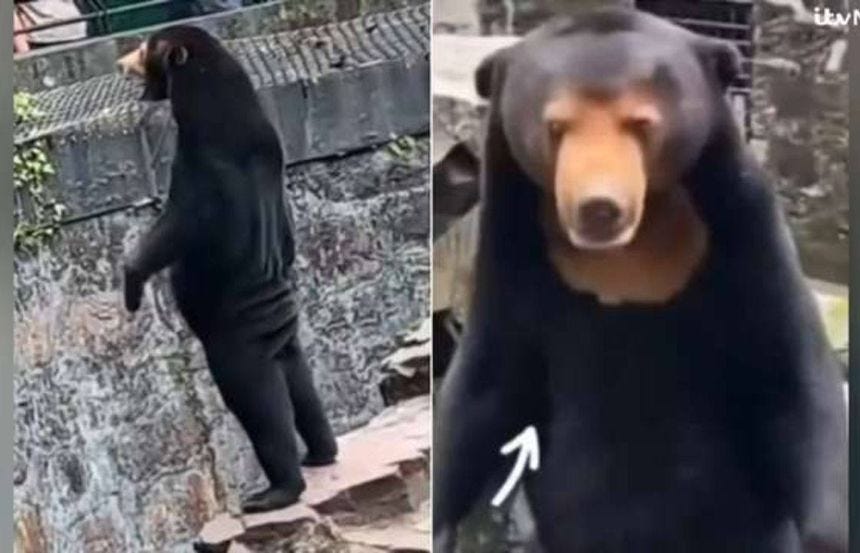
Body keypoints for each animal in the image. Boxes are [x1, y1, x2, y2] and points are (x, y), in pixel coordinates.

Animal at [116, 26, 338, 513]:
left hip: (235, 340)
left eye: (145, 48)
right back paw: (321, 452)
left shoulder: (200, 168)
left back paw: (275, 490)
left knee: (258, 402)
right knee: (302, 383)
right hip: (284, 337)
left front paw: (132, 286)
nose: (121, 62)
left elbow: (173, 230)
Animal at [433, 8, 848, 553]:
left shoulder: (744, 233)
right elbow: (485, 390)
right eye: (556, 127)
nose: (599, 208)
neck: (629, 254)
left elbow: (792, 382)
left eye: (641, 124)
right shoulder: (512, 248)